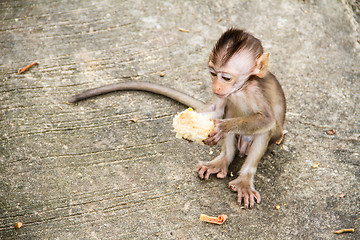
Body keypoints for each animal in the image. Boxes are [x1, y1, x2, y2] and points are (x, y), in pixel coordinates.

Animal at [69, 28, 286, 208]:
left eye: (226, 77)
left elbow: (267, 120)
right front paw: (189, 125)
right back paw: (223, 160)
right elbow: (215, 108)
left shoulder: (256, 91)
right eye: (213, 73)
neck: (241, 88)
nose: (216, 87)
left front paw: (222, 127)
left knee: (263, 131)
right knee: (230, 113)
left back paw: (244, 179)